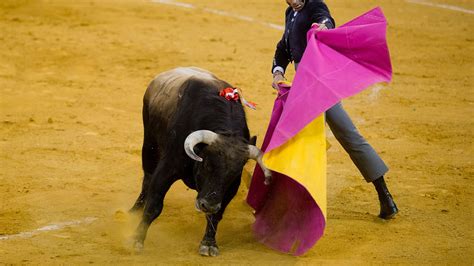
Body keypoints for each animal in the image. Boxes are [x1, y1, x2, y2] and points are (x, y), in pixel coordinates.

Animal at [130, 66, 270, 256]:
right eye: (207, 164)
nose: (208, 205)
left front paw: (209, 243)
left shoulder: (229, 189)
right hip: (150, 143)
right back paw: (135, 210)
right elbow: (154, 205)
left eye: (234, 173)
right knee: (147, 178)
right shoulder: (167, 169)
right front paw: (137, 240)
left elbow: (216, 215)